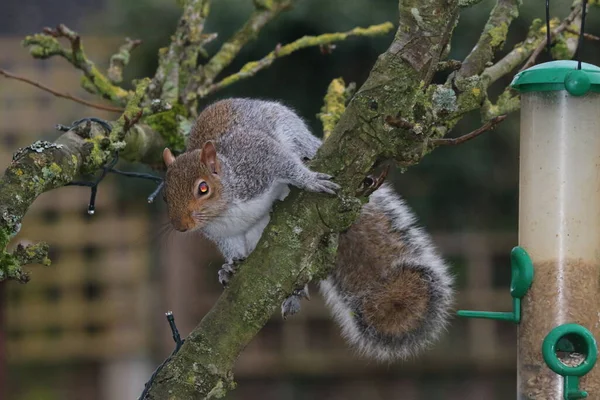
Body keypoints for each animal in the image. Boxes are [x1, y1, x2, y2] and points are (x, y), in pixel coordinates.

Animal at [162, 98, 452, 360]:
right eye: (165, 195)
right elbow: (232, 248)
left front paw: (310, 180)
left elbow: (285, 163)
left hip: (292, 133)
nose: (180, 226)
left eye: (203, 188)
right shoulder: (225, 233)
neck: (227, 208)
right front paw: (230, 266)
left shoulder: (257, 158)